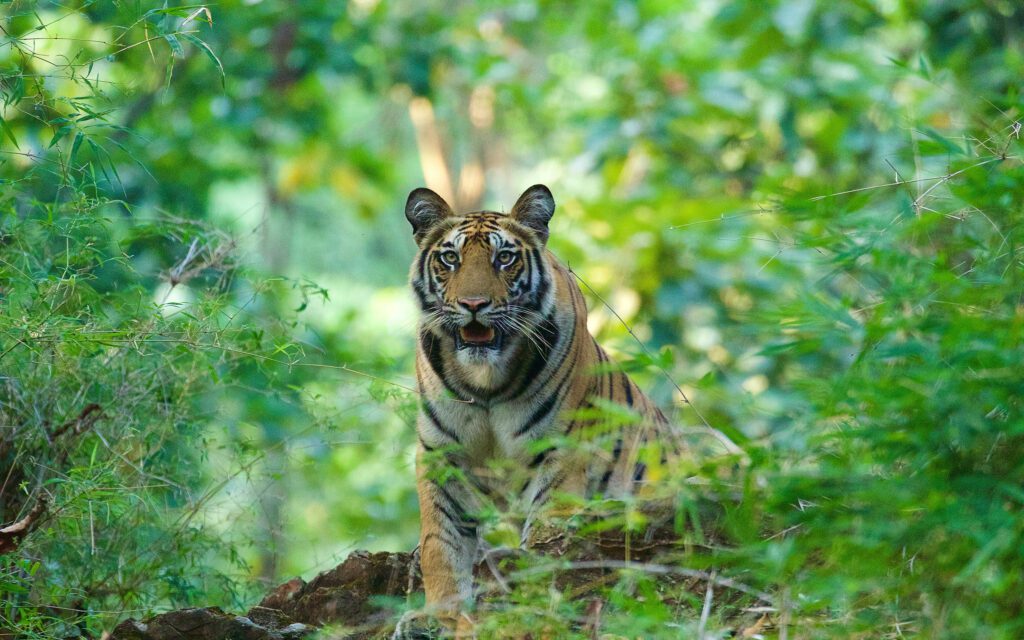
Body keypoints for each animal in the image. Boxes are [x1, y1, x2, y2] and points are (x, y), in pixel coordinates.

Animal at [401, 184, 688, 634]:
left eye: (505, 258)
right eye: (450, 258)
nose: (473, 304)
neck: (485, 381)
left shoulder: (561, 451)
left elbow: (544, 539)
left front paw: (526, 607)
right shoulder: (440, 455)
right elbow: (441, 545)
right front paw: (439, 618)